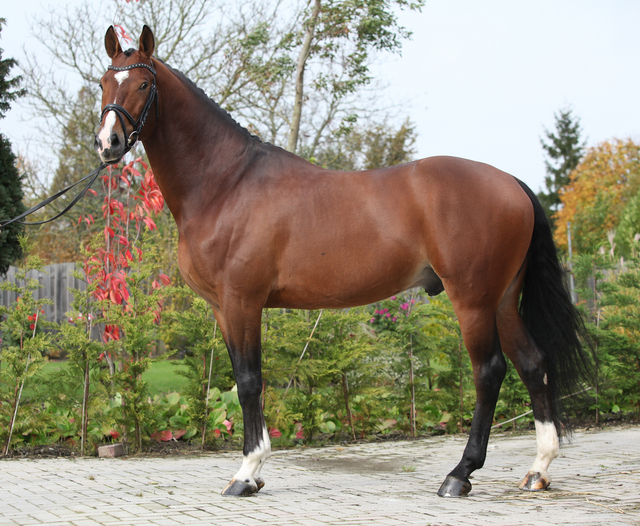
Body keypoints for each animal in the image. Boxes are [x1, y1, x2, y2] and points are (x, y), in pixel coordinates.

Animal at [94, 25, 589, 498]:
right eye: (103, 83)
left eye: (143, 83)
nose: (108, 143)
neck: (226, 183)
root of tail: (511, 182)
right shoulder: (223, 307)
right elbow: (241, 379)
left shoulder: (242, 301)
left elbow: (250, 381)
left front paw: (247, 474)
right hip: (502, 298)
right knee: (532, 364)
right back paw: (538, 470)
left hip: (473, 300)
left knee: (489, 372)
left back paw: (459, 475)